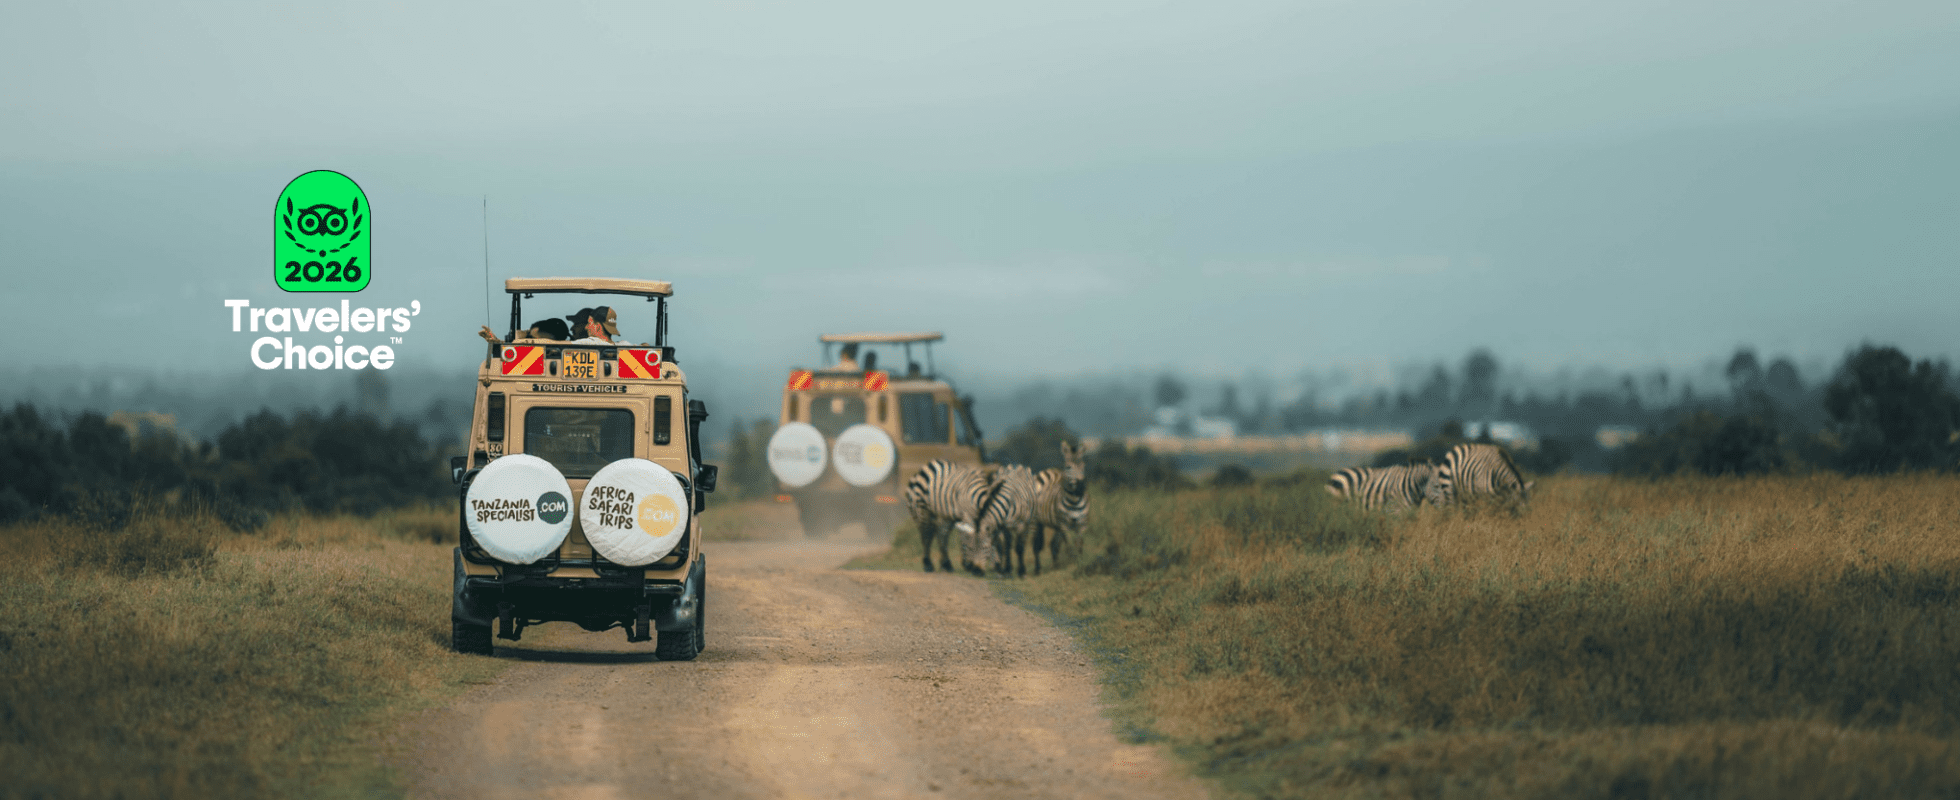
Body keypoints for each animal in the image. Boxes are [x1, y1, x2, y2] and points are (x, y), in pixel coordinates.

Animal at [1029, 440, 1089, 575]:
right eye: (1068, 467)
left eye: (1083, 466)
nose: (1081, 488)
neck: (1074, 501)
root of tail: (1049, 470)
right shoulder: (1065, 525)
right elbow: (1070, 546)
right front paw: (1073, 565)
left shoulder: (1082, 523)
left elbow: (1079, 545)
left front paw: (1081, 564)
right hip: (1037, 521)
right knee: (1036, 545)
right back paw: (1037, 569)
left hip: (1056, 525)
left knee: (1053, 545)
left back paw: (1055, 566)